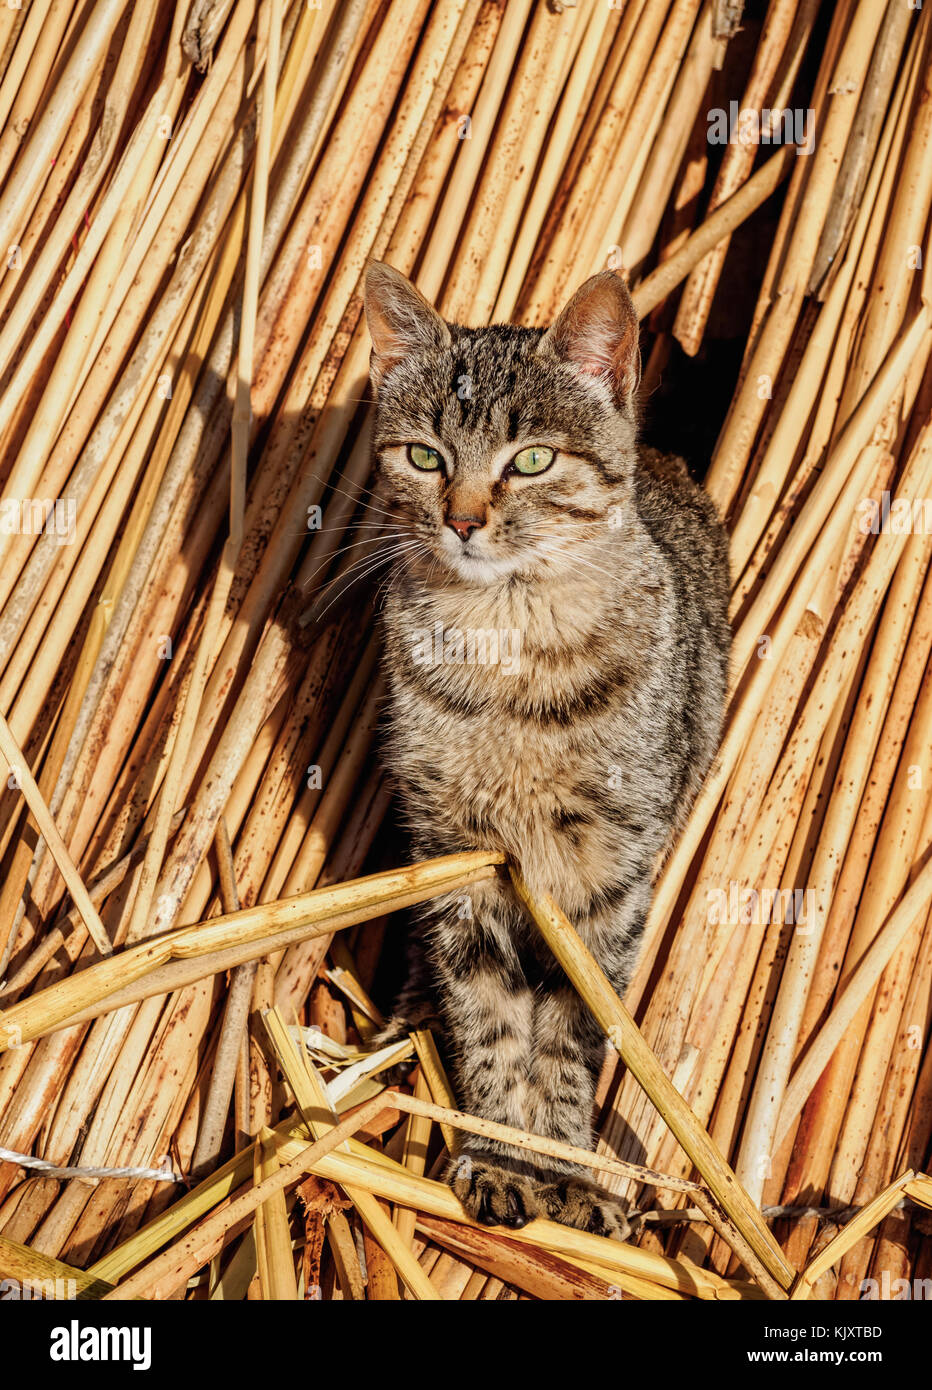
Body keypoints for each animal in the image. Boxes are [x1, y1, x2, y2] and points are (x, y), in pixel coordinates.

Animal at [361, 261, 733, 1239]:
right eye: (425, 457)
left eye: (530, 460)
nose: (461, 520)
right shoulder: (457, 858)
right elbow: (488, 1021)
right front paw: (498, 1155)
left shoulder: (609, 879)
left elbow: (572, 1031)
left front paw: (564, 1171)